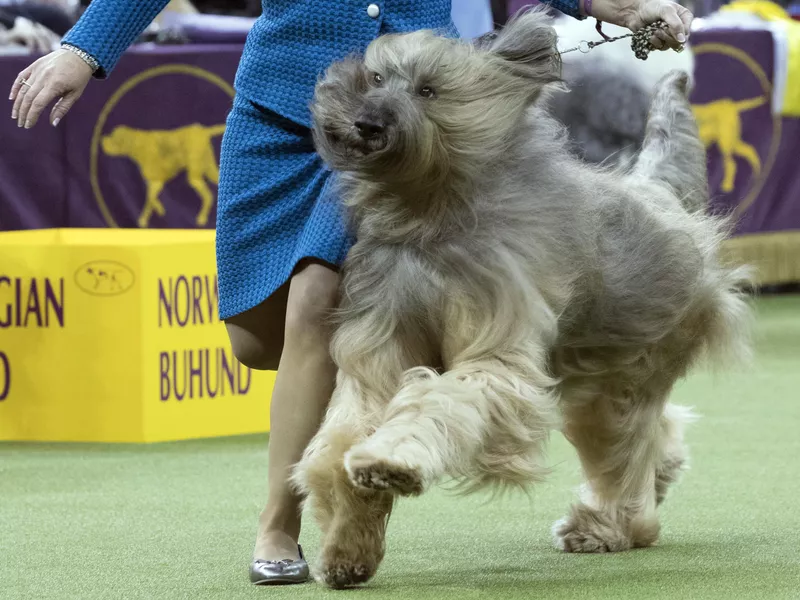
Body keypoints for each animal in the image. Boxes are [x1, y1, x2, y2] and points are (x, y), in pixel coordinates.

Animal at [292, 8, 752, 592]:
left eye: (427, 90)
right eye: (376, 78)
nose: (366, 123)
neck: (428, 213)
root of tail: (660, 195)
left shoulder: (496, 348)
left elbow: (439, 401)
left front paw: (388, 463)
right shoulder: (379, 345)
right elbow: (340, 443)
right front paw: (348, 547)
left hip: (625, 373)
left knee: (623, 454)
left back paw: (606, 526)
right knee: (653, 435)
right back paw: (658, 478)